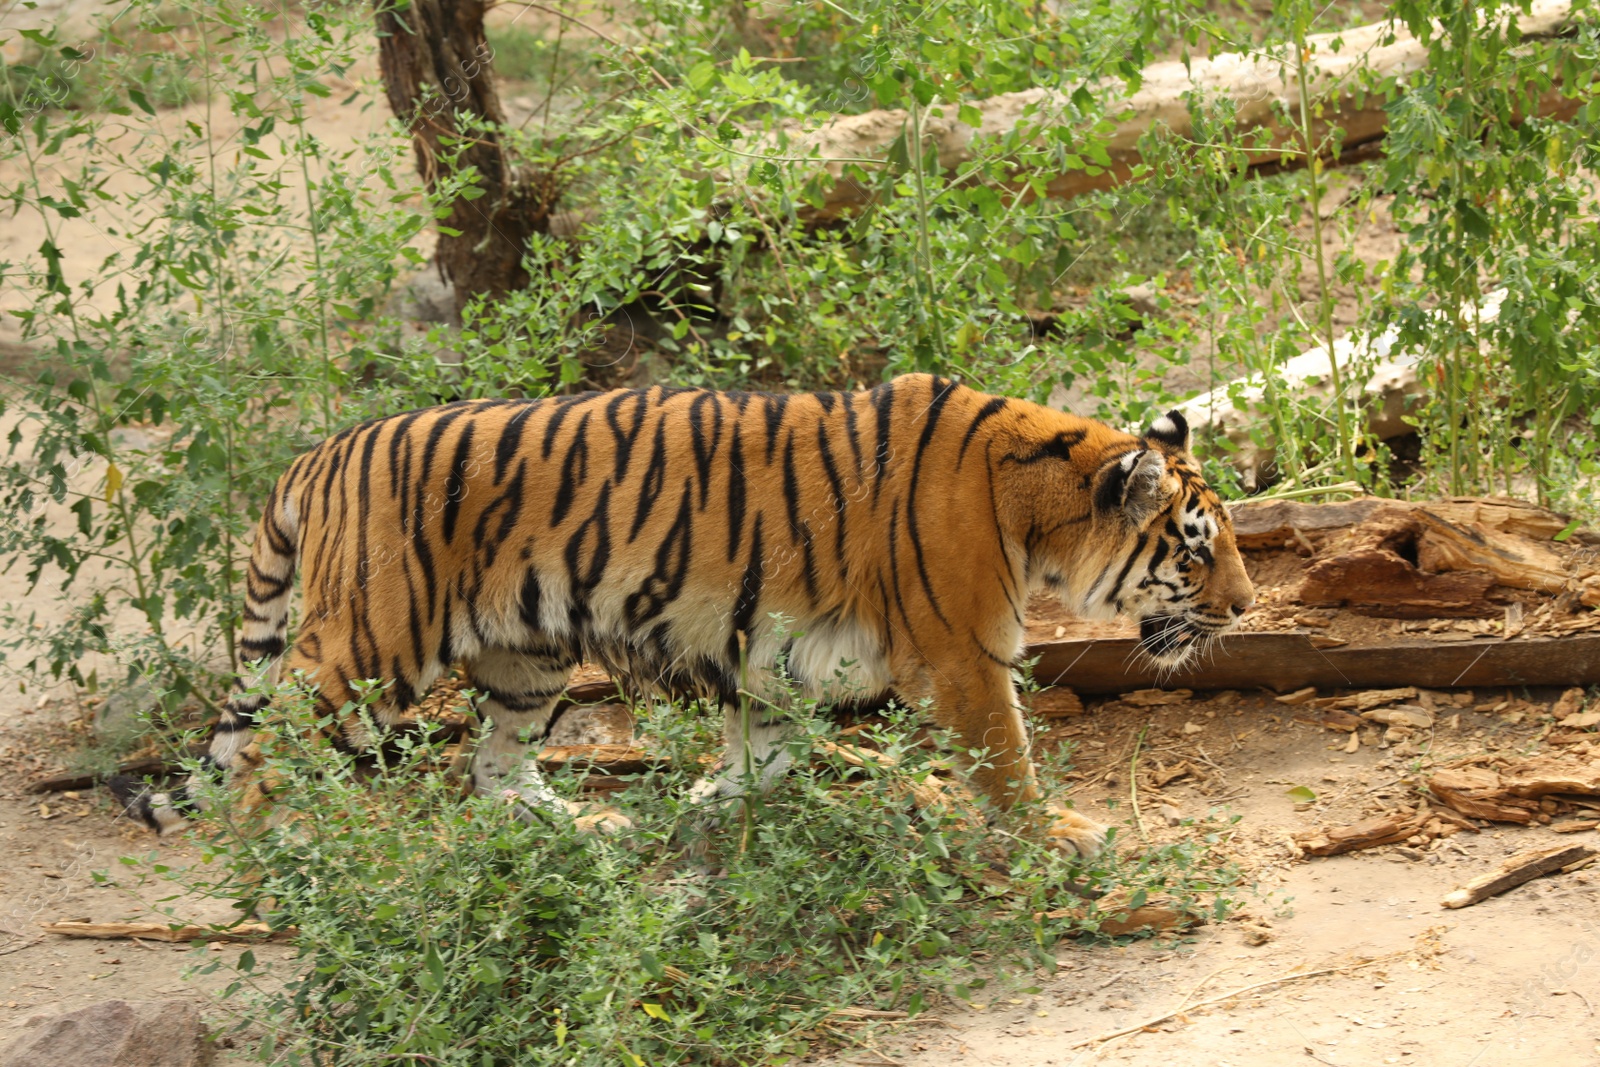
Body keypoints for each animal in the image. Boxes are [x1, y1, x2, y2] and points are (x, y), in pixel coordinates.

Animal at [116, 375, 1248, 857]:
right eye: (1194, 547)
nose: (1244, 607)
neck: (1035, 496)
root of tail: (315, 453)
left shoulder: (778, 661)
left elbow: (760, 755)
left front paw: (706, 813)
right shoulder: (964, 658)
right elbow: (1007, 762)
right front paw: (1065, 832)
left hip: (525, 655)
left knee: (492, 765)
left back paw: (584, 825)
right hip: (371, 647)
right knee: (269, 749)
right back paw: (291, 853)